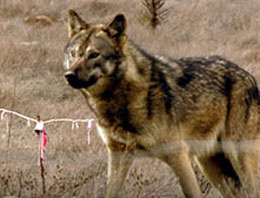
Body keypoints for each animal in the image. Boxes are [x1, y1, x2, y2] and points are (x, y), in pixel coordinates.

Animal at [63, 10, 260, 197]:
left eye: (94, 55)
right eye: (73, 54)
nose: (69, 75)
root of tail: (250, 78)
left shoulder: (178, 155)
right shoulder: (118, 152)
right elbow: (111, 191)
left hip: (238, 161)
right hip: (210, 166)